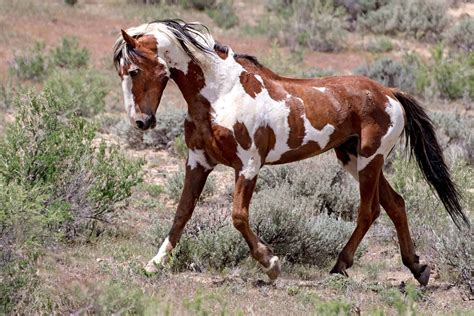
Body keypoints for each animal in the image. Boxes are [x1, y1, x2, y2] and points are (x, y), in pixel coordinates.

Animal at [112, 19, 470, 286]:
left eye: (134, 71)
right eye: (122, 73)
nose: (142, 121)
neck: (220, 93)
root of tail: (390, 93)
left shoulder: (248, 165)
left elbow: (238, 216)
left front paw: (271, 264)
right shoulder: (198, 162)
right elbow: (182, 212)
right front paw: (154, 263)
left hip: (371, 159)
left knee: (369, 212)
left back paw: (339, 266)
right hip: (355, 159)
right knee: (396, 204)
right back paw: (417, 269)